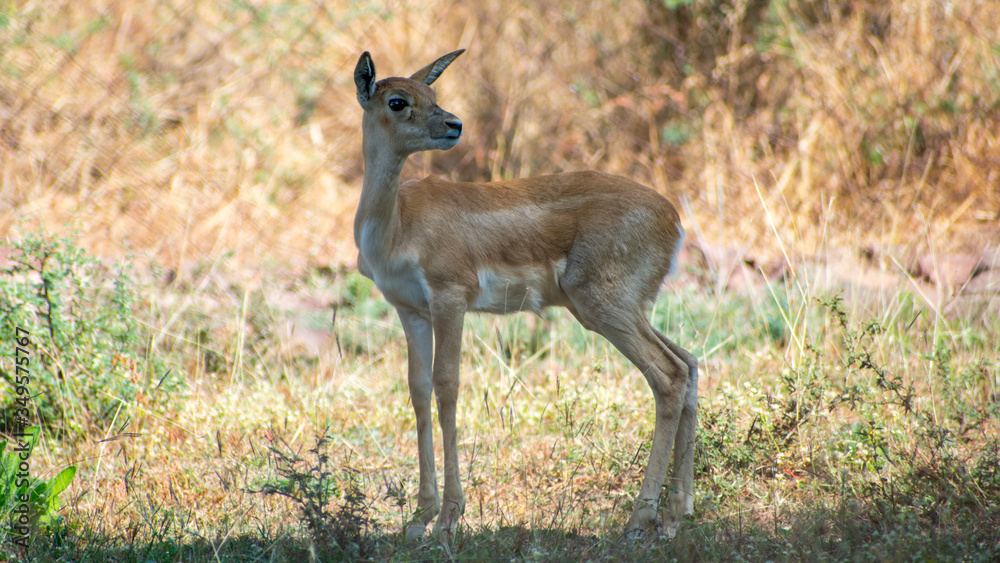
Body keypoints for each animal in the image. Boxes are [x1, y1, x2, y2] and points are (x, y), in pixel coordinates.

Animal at [352, 48, 699, 542]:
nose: (454, 124)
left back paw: (639, 520)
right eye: (398, 100)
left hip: (603, 306)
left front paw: (449, 517)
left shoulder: (450, 297)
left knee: (668, 375)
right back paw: (676, 514)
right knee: (689, 363)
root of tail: (673, 219)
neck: (398, 223)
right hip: (628, 308)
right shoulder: (409, 309)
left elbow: (447, 385)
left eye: (430, 94)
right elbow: (418, 390)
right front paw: (420, 516)